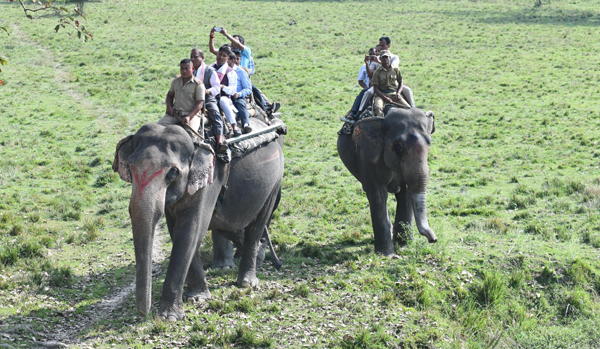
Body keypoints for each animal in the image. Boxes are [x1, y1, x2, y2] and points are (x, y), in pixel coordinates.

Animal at [113, 118, 286, 320]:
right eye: (130, 166)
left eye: (173, 172)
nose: (143, 314)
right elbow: (179, 231)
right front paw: (197, 297)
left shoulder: (211, 178)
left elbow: (190, 231)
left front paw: (169, 316)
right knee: (227, 225)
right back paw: (258, 254)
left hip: (275, 180)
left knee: (257, 223)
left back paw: (247, 281)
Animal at [338, 106, 436, 256]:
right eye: (398, 147)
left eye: (429, 143)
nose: (433, 240)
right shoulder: (367, 155)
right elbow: (378, 195)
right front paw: (387, 255)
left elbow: (406, 195)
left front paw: (403, 246)